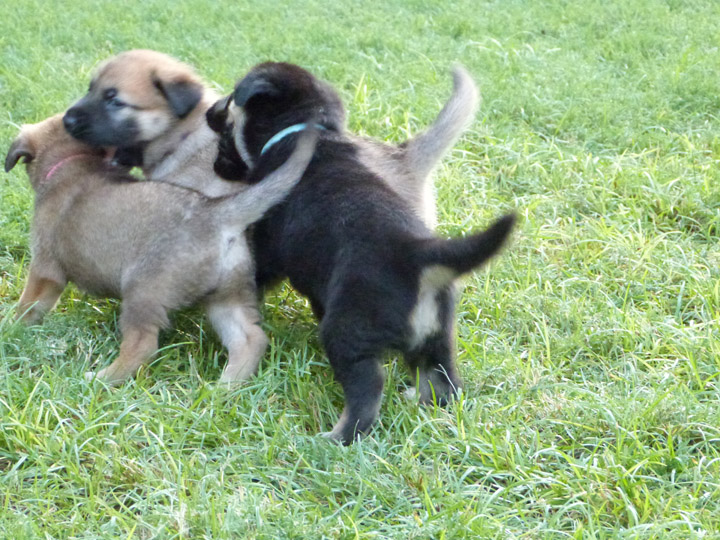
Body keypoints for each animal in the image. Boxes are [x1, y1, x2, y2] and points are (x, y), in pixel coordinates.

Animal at [4, 114, 316, 384]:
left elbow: (27, 306)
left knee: (142, 345)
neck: (69, 162)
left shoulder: (45, 269)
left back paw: (101, 378)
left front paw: (10, 327)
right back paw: (225, 387)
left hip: (142, 292)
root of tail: (216, 214)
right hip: (227, 297)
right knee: (250, 339)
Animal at [205, 62, 516, 442]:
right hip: (439, 335)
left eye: (230, 106)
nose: (208, 111)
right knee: (446, 384)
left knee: (367, 394)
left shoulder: (266, 250)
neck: (305, 132)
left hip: (348, 332)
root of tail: (419, 254)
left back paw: (333, 438)